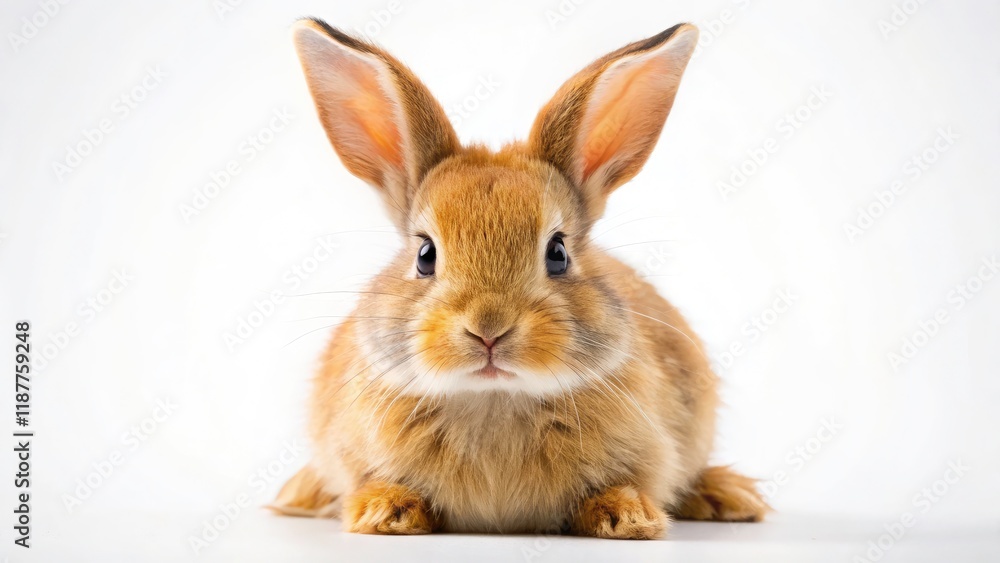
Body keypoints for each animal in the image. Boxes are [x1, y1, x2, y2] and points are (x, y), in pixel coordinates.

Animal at [270, 17, 769, 539]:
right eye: (425, 255)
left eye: (558, 253)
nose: (488, 329)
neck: (494, 396)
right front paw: (385, 512)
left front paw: (628, 517)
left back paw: (728, 496)